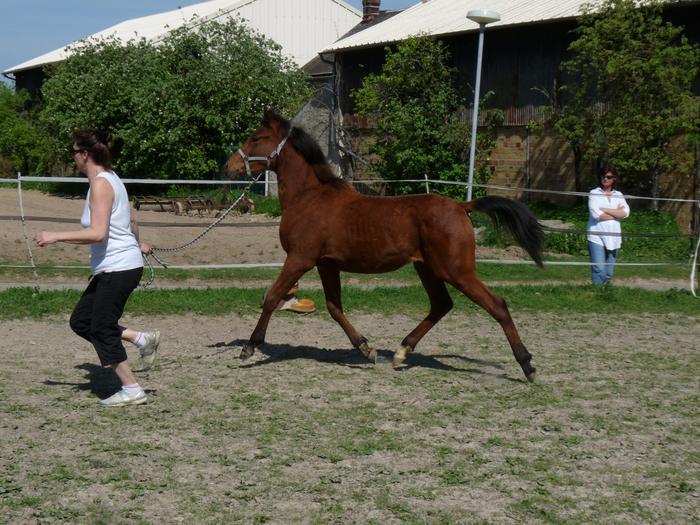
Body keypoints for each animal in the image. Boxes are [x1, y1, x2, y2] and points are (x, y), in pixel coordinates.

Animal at [227, 110, 544, 380]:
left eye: (255, 137)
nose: (229, 165)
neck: (310, 197)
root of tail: (460, 206)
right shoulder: (326, 263)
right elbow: (334, 307)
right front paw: (366, 349)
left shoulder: (300, 258)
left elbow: (271, 297)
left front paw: (249, 347)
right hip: (427, 268)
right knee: (441, 304)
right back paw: (402, 352)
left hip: (456, 270)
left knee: (497, 305)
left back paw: (527, 366)